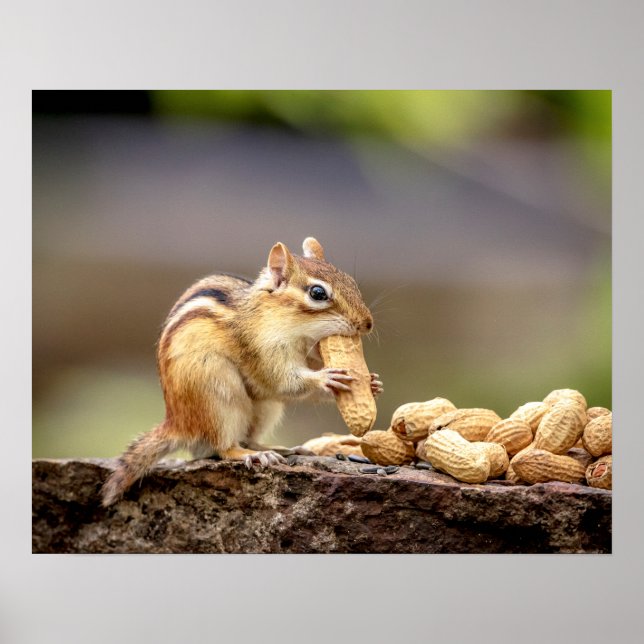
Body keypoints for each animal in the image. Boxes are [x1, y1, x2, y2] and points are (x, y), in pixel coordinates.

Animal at [101, 237, 383, 506]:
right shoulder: (262, 349)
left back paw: (280, 449)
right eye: (318, 293)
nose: (367, 324)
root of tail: (177, 424)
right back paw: (253, 455)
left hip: (266, 407)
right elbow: (284, 381)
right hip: (218, 395)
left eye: (351, 282)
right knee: (225, 447)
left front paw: (372, 383)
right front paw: (326, 378)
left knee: (250, 437)